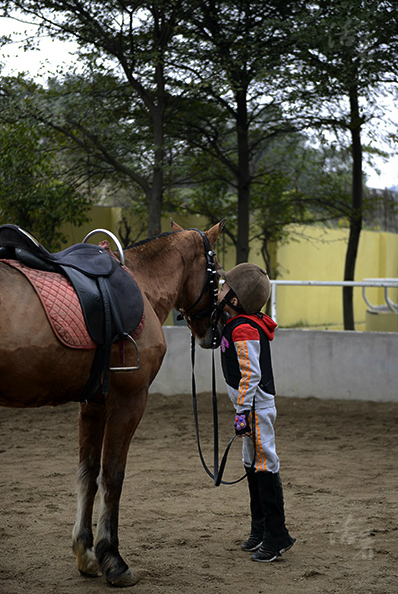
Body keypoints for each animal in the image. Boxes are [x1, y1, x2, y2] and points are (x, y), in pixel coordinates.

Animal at [0, 220, 224, 584]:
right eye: (215, 272)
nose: (213, 333)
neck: (142, 284)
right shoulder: (128, 403)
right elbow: (112, 475)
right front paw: (113, 559)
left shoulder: (93, 404)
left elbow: (87, 472)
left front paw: (86, 552)